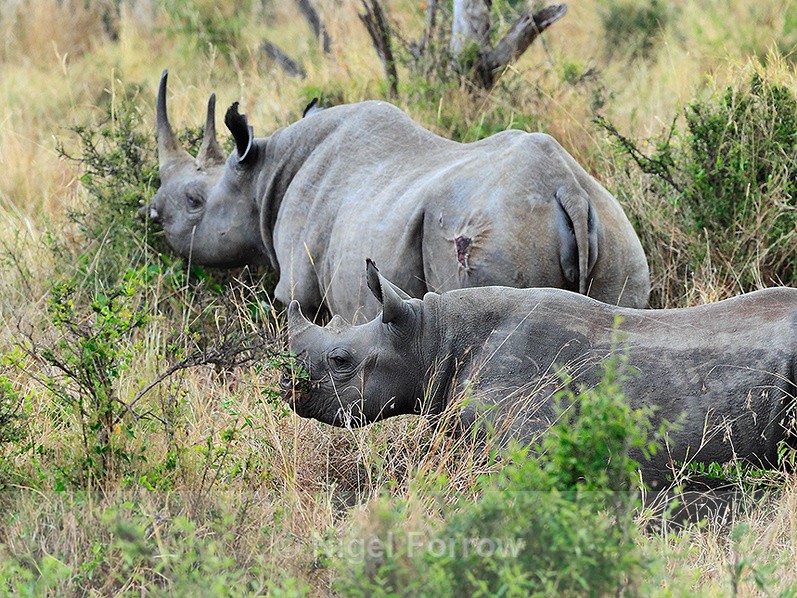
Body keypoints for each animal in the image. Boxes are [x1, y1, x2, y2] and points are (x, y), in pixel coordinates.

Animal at [147, 70, 650, 322]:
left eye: (193, 200)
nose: (151, 213)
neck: (263, 174)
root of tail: (569, 191)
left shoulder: (298, 291)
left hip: (497, 236)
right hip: (619, 236)